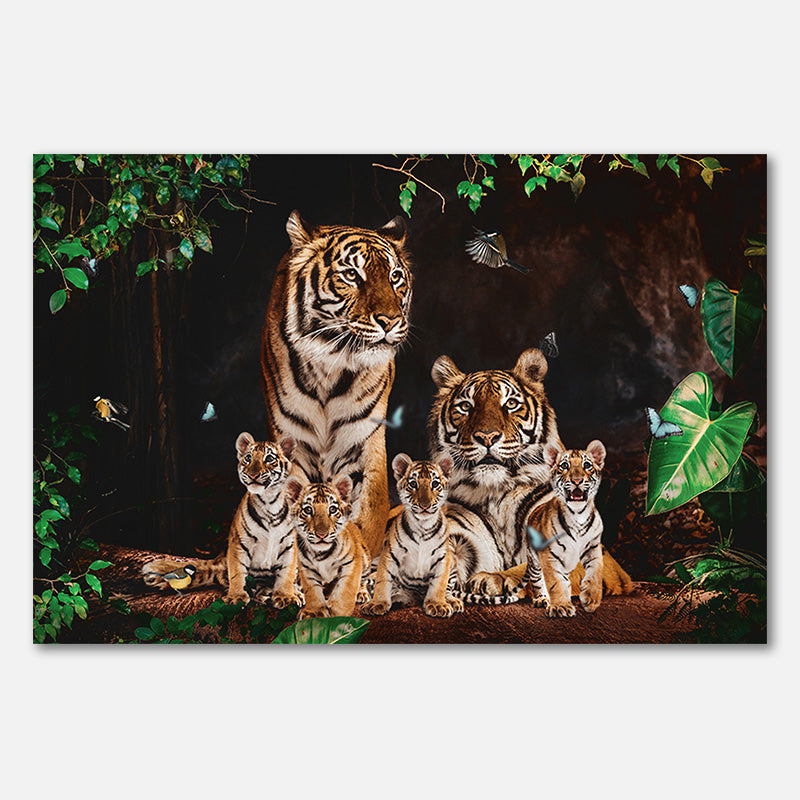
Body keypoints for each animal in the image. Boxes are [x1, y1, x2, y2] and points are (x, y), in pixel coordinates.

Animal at [260, 210, 413, 561]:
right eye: (352, 274)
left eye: (395, 276)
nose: (390, 321)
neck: (330, 366)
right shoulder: (292, 443)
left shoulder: (363, 440)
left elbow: (367, 514)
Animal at [286, 474, 371, 620]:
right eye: (308, 510)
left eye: (332, 509)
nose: (322, 534)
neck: (320, 553)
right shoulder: (306, 568)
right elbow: (312, 590)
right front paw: (313, 612)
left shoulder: (352, 562)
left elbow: (345, 589)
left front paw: (338, 612)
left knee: (362, 580)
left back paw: (361, 593)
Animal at [361, 454, 464, 618]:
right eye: (413, 484)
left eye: (435, 484)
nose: (425, 505)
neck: (423, 526)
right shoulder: (390, 554)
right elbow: (383, 580)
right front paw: (378, 603)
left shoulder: (443, 557)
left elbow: (440, 583)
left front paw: (437, 604)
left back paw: (452, 601)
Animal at [428, 346, 633, 598]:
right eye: (466, 406)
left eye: (511, 404)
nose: (487, 437)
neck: (496, 493)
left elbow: (535, 567)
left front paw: (493, 579)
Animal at [522, 440, 607, 617]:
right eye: (564, 465)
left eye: (587, 465)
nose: (577, 480)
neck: (578, 514)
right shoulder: (549, 555)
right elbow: (555, 582)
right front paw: (560, 606)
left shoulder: (593, 547)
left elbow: (595, 572)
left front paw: (591, 599)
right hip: (534, 560)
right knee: (538, 580)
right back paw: (542, 599)